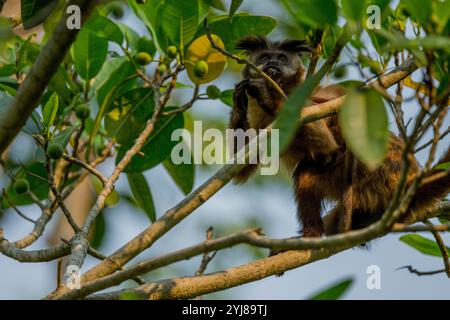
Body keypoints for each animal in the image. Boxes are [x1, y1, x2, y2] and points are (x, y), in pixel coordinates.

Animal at [229, 36, 450, 239]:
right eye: (265, 57)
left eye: (282, 58)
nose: (273, 64)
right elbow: (239, 170)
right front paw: (239, 101)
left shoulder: (303, 99)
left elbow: (325, 140)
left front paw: (267, 96)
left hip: (365, 176)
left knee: (306, 172)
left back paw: (312, 235)